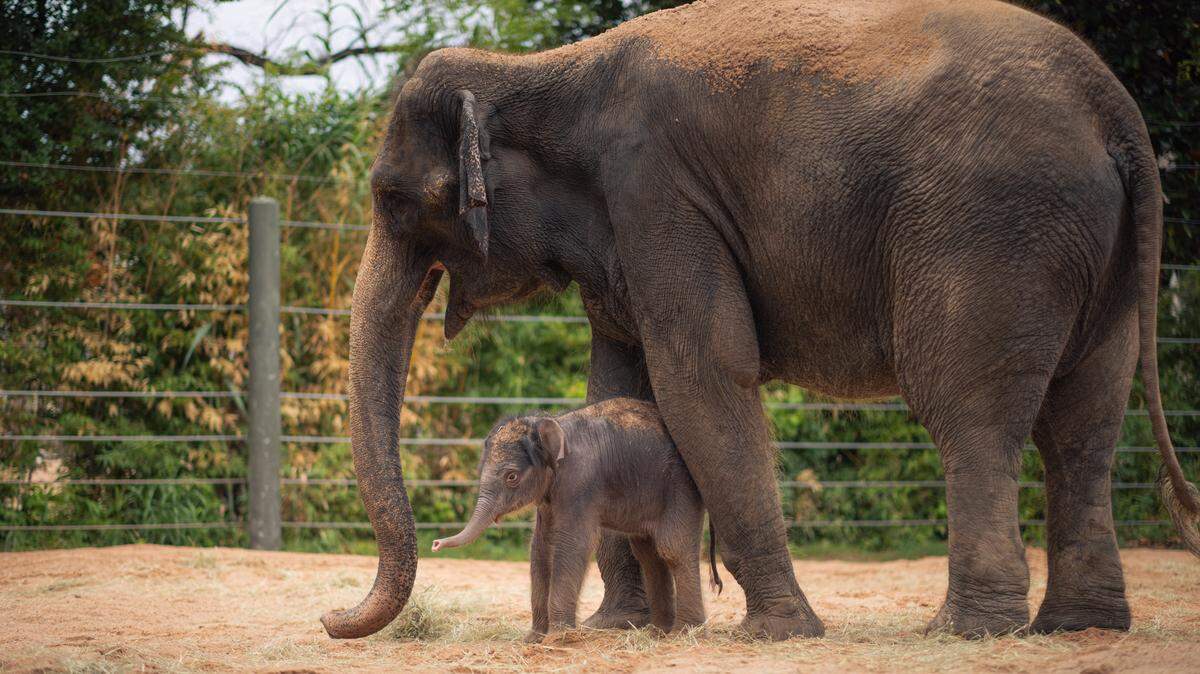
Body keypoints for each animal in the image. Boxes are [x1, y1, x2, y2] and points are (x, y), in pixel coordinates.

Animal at [429, 398, 723, 641]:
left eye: (511, 476)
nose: (435, 544)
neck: (552, 425)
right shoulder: (549, 497)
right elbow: (540, 547)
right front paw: (534, 639)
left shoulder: (580, 482)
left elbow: (573, 544)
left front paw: (558, 638)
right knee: (648, 553)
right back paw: (657, 633)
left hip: (681, 486)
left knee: (672, 547)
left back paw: (685, 634)